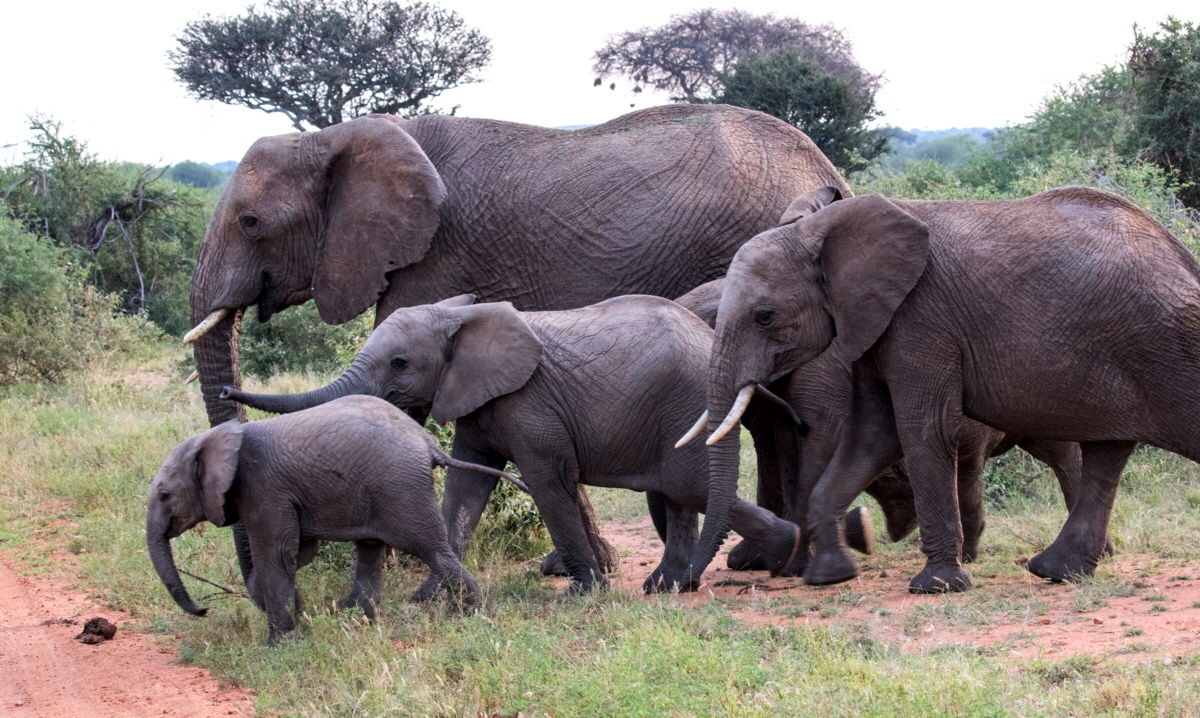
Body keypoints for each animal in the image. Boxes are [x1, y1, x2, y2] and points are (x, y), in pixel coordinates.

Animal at [147, 393, 518, 648]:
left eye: (164, 495)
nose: (203, 610)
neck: (216, 440)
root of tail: (427, 442)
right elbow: (297, 551)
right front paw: (297, 610)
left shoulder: (264, 489)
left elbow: (276, 554)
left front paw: (278, 645)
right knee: (371, 548)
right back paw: (357, 615)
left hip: (401, 485)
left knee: (427, 547)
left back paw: (466, 612)